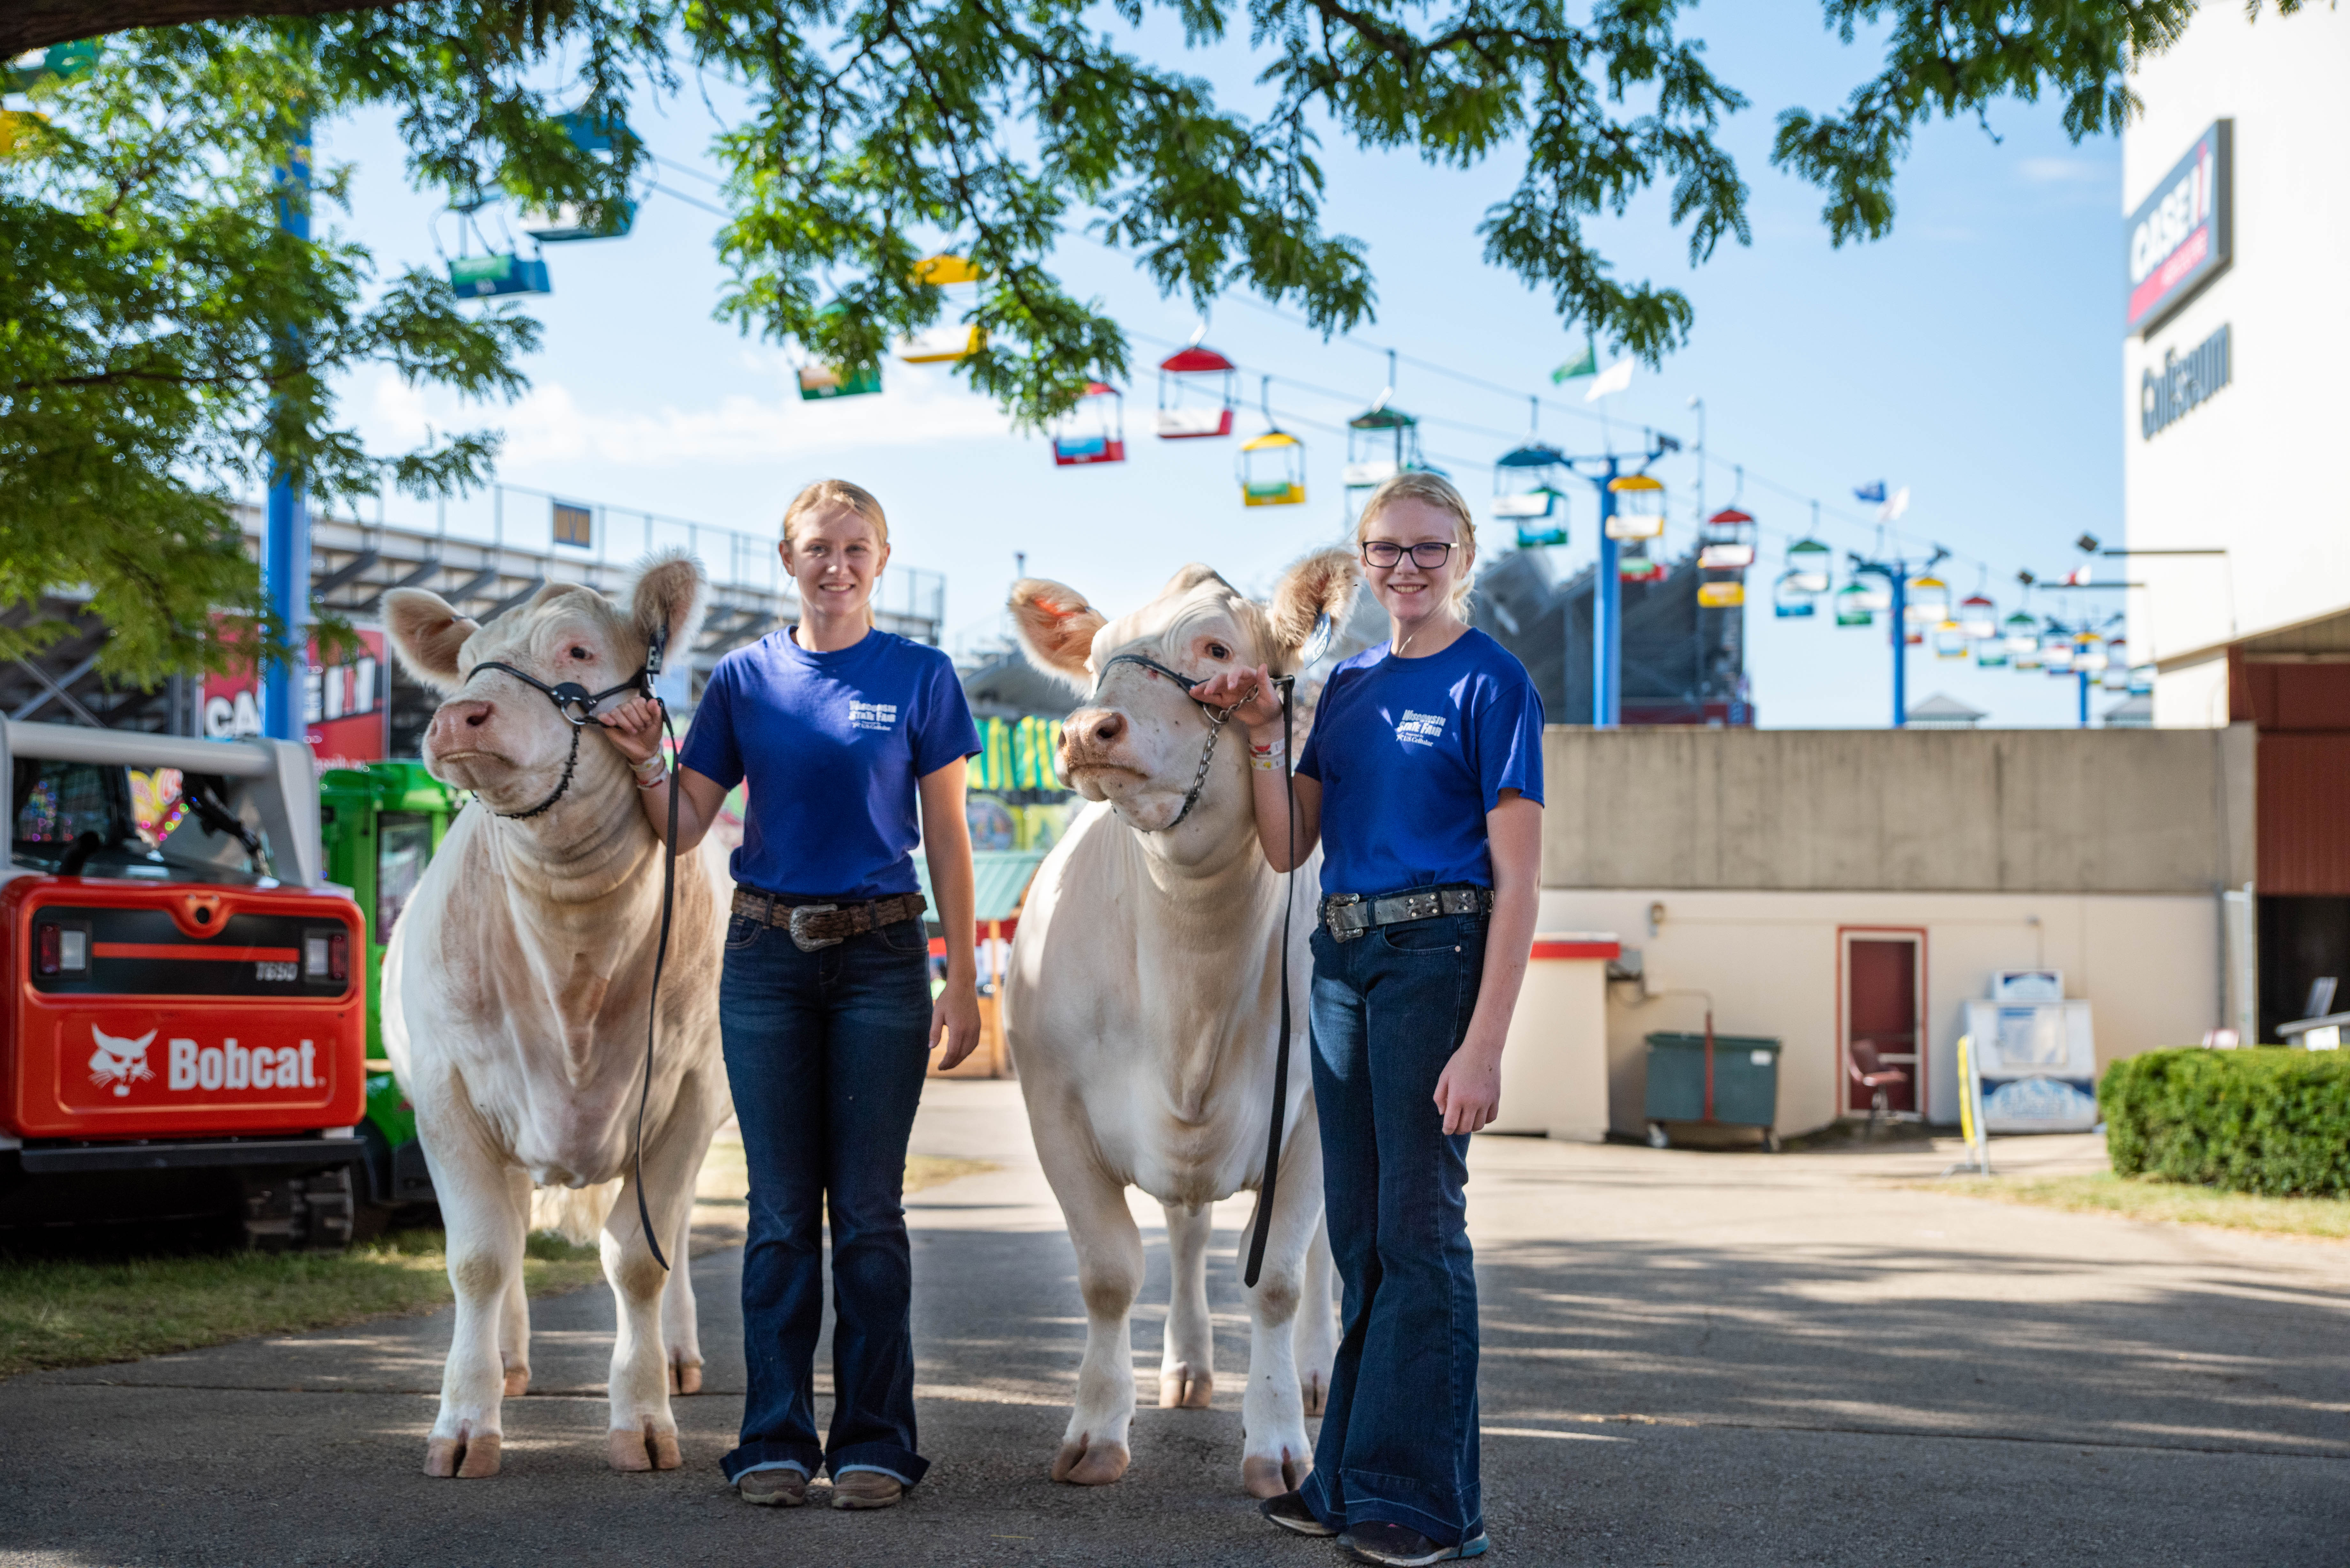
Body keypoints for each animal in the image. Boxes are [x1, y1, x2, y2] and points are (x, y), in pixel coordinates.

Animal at [381, 557, 724, 1476]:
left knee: (676, 1231)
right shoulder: (446, 1096)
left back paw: (676, 1356)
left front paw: (642, 1416)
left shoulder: (687, 1094)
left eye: (577, 648)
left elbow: (641, 1258)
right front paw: (466, 1422)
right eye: (467, 666)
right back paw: (505, 1358)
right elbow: (480, 1257)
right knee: (509, 1236)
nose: (457, 716)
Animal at [1001, 552, 1353, 1495]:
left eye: (1216, 648)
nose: (1089, 731)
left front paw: (1278, 1443)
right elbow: (1109, 1273)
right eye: (1095, 661)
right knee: (1187, 1229)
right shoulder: (1052, 1105)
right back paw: (1188, 1365)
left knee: (1324, 1257)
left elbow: (1279, 1281)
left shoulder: (1313, 1115)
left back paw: (1315, 1373)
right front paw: (1096, 1429)